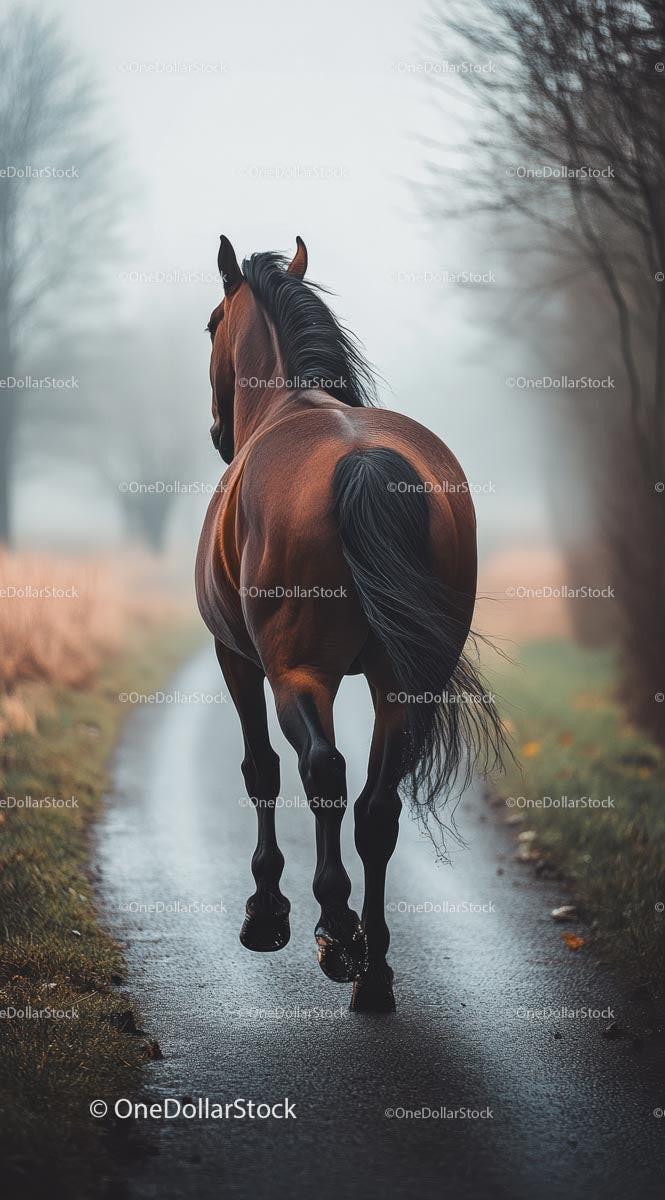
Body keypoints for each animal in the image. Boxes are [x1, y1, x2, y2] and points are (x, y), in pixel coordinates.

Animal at [195, 235, 505, 1012]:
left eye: (211, 324)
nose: (217, 433)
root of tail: (362, 462)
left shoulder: (235, 656)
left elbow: (261, 770)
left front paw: (266, 911)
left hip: (298, 672)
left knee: (324, 773)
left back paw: (334, 932)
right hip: (405, 682)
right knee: (376, 807)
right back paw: (374, 971)